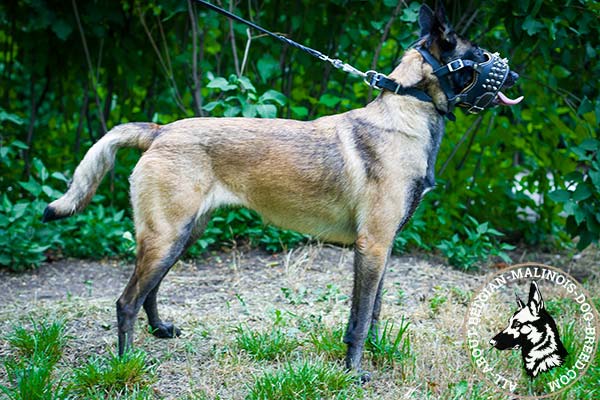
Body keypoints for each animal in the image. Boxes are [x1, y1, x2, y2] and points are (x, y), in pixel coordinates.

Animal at [42, 3, 520, 378]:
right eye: (479, 54)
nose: (515, 74)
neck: (407, 111)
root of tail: (160, 131)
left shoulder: (383, 247)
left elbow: (375, 311)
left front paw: (377, 354)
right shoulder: (372, 245)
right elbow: (359, 317)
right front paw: (355, 372)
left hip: (183, 234)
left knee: (149, 290)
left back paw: (160, 331)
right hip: (167, 235)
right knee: (126, 300)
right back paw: (126, 363)